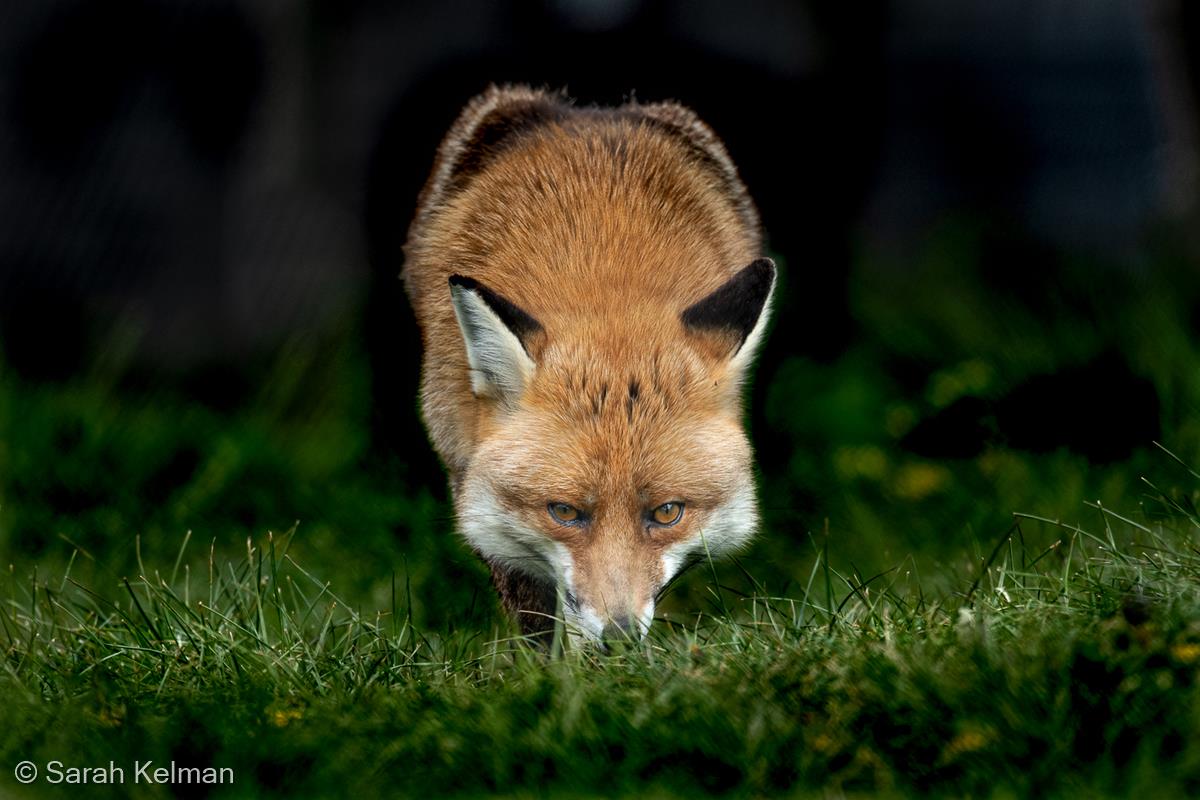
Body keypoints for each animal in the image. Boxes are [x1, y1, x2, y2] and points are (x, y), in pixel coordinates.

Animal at [403, 84, 777, 642]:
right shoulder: (466, 466)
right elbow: (534, 607)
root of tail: (586, 111)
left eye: (667, 513)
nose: (619, 638)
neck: (603, 254)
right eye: (564, 511)